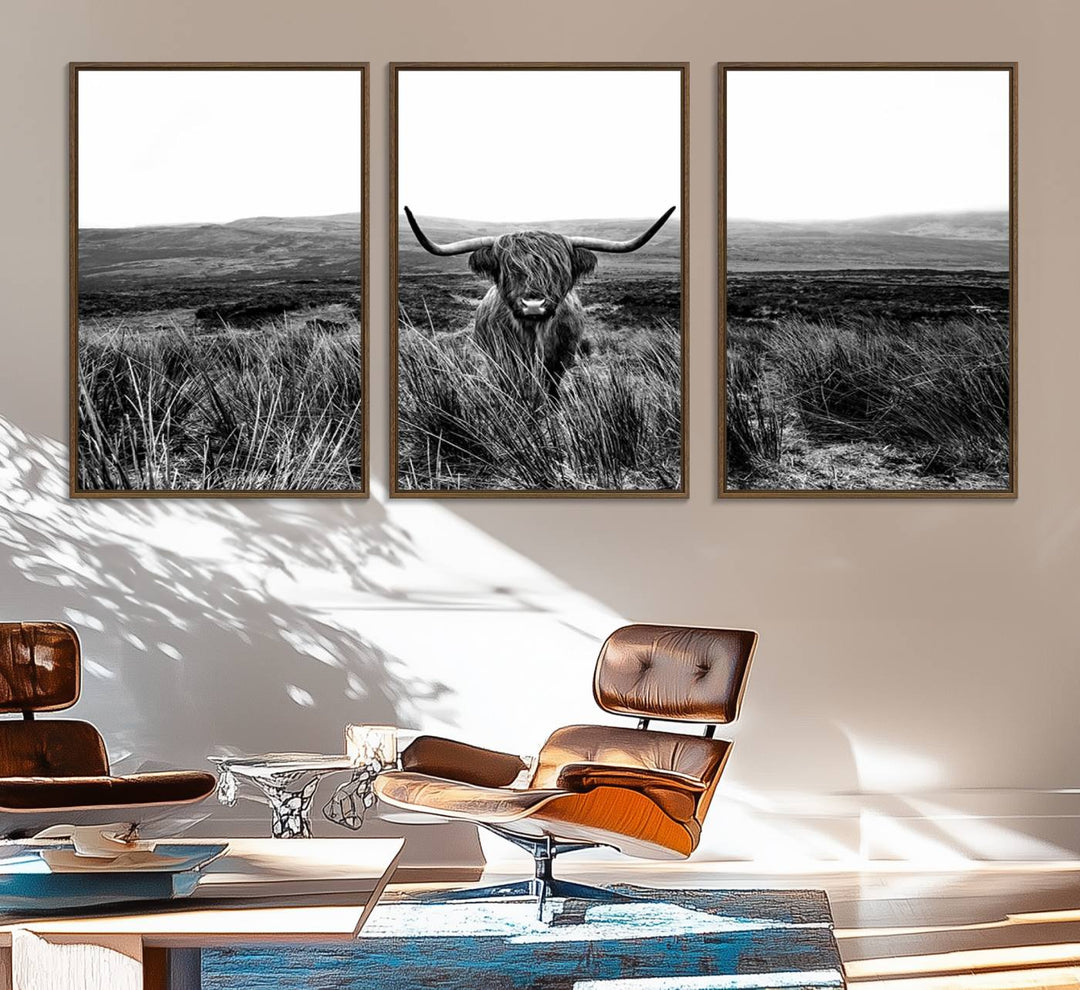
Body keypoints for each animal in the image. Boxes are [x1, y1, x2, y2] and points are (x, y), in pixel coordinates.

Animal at [406, 205, 673, 397]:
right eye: (509, 269)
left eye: (557, 269)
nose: (533, 305)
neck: (533, 335)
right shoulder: (502, 361)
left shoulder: (560, 362)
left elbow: (551, 392)